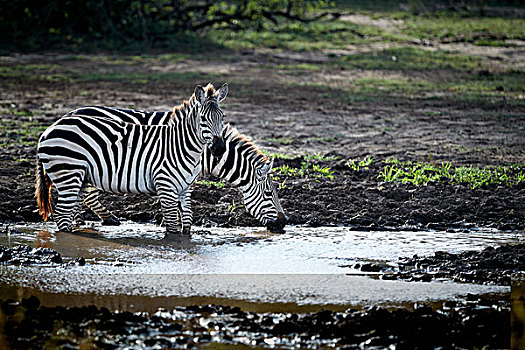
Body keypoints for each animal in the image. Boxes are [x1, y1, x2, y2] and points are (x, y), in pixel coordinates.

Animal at [34, 83, 227, 234]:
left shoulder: (185, 188)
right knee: (62, 215)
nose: (220, 148)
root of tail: (47, 130)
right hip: (68, 173)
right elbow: (172, 226)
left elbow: (187, 223)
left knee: (67, 213)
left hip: (79, 178)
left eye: (222, 117)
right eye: (203, 119)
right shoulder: (165, 185)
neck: (181, 145)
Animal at [64, 106, 286, 232]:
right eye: (269, 194)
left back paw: (80, 219)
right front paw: (168, 222)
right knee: (85, 194)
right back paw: (101, 218)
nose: (285, 223)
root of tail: (72, 113)